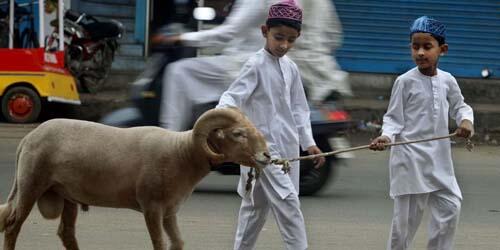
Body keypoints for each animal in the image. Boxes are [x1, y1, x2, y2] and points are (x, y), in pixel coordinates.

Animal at [0, 107, 270, 250]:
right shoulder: (151, 207)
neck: (181, 153)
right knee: (13, 226)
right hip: (31, 184)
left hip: (66, 195)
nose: (267, 155)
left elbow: (178, 242)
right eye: (238, 133)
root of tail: (28, 138)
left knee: (66, 233)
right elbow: (160, 243)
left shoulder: (170, 211)